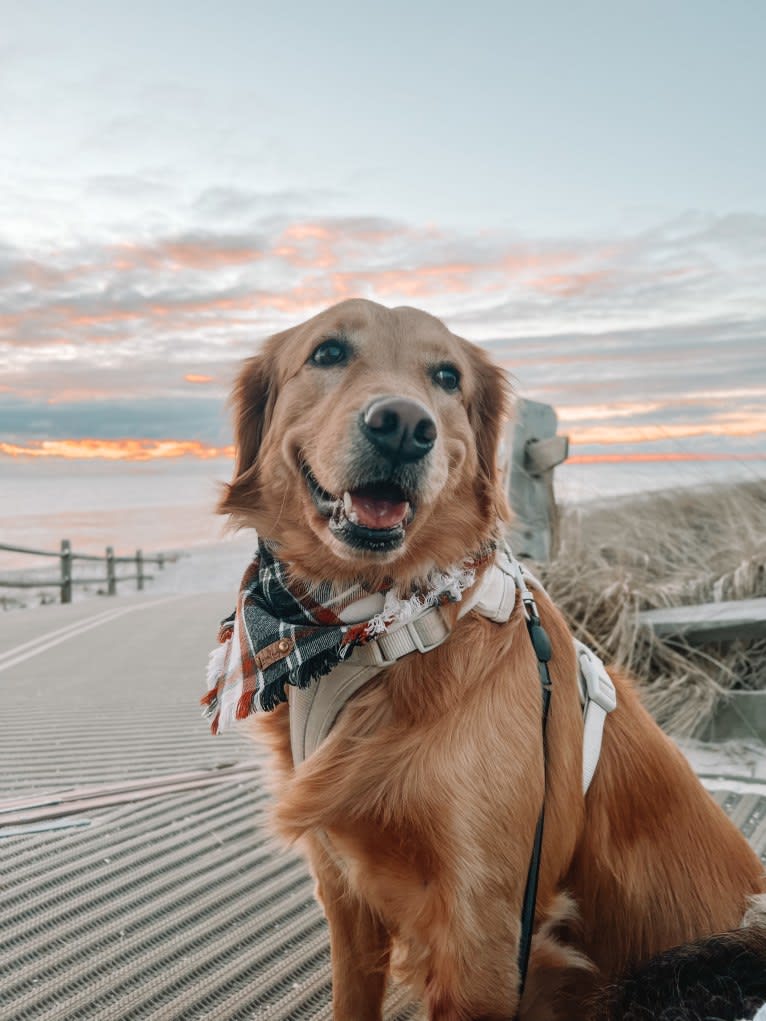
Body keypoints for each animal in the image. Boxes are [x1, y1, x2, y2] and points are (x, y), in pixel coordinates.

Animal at [213, 298, 763, 1016]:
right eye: (327, 352)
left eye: (448, 376)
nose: (403, 427)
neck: (383, 627)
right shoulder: (344, 888)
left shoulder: (486, 926)